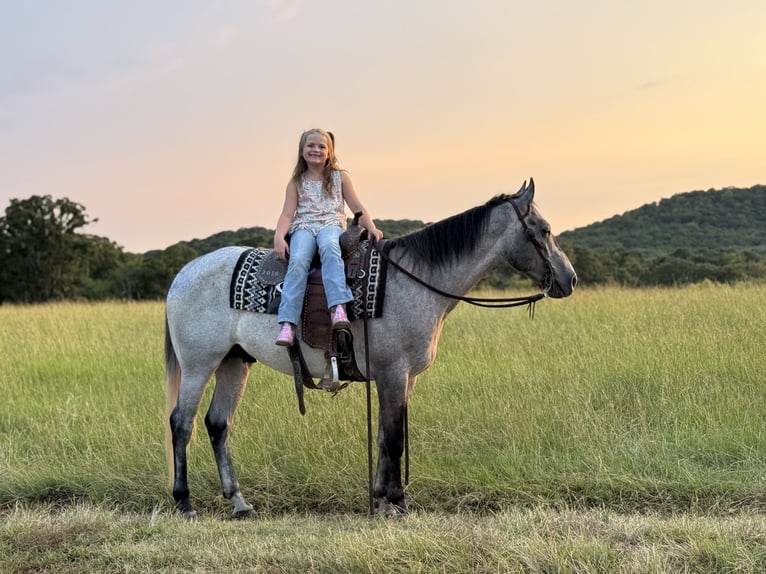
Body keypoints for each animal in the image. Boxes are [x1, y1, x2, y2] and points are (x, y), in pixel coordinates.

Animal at [165, 179, 577, 518]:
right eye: (544, 230)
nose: (570, 279)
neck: (416, 281)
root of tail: (184, 273)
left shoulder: (402, 379)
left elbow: (383, 437)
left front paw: (380, 499)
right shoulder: (394, 374)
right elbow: (394, 439)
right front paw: (397, 502)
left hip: (234, 363)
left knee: (218, 424)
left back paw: (238, 502)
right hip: (199, 366)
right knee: (182, 423)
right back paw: (184, 501)